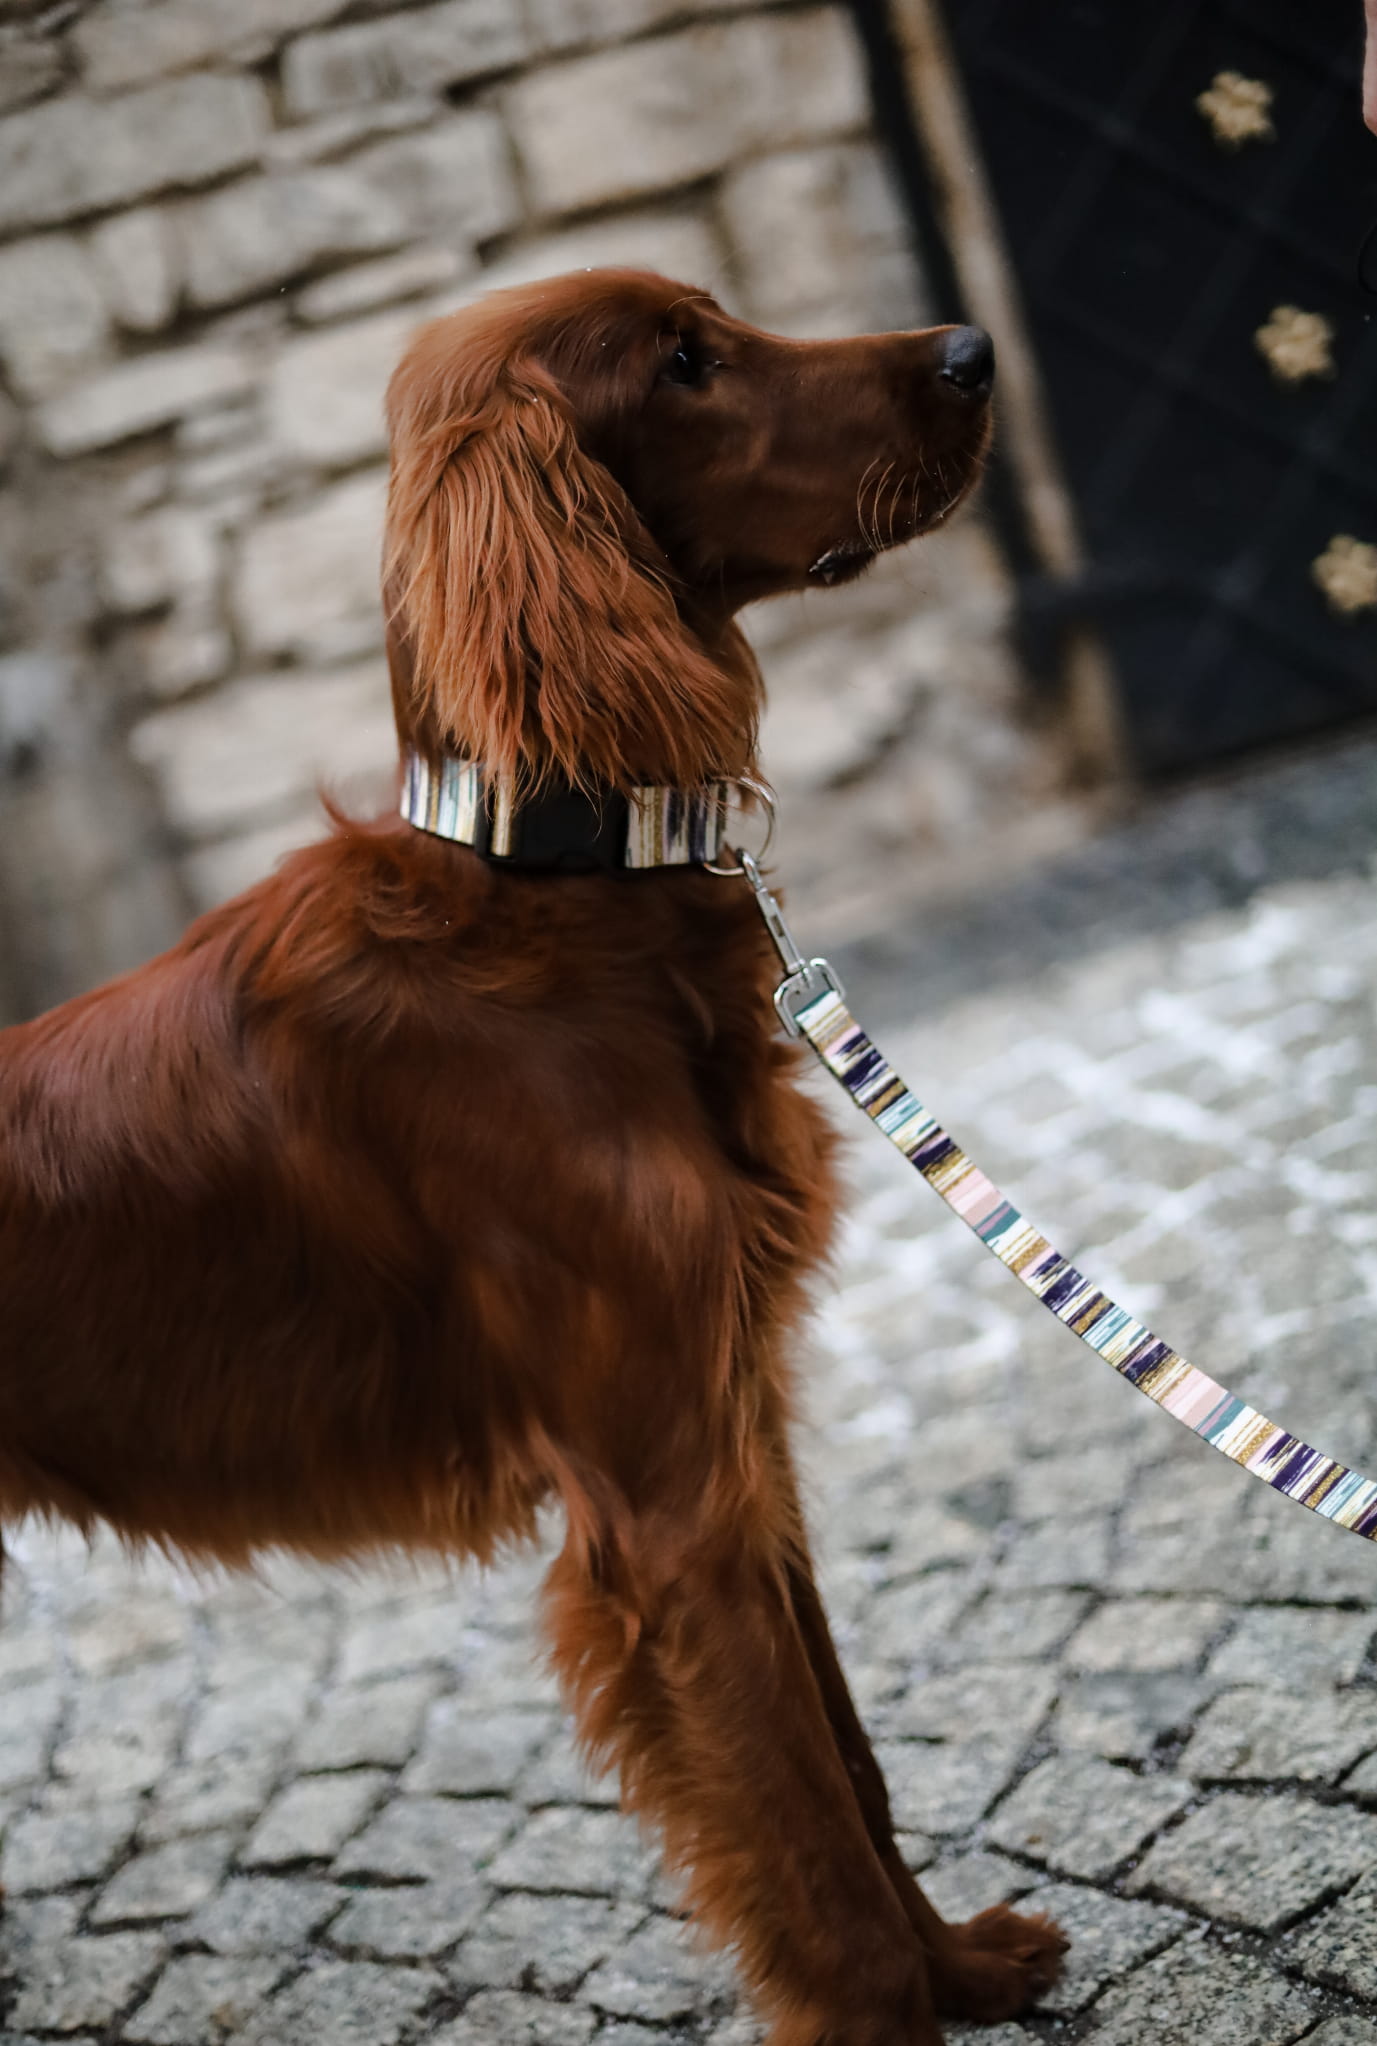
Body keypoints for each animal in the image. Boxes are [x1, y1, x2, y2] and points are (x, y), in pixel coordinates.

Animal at [0, 269, 1065, 2044]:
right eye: (686, 361)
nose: (974, 349)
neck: (552, 893)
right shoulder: (668, 1506)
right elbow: (806, 1833)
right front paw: (890, 2005)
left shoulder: (737, 1439)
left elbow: (850, 1768)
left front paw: (961, 1971)